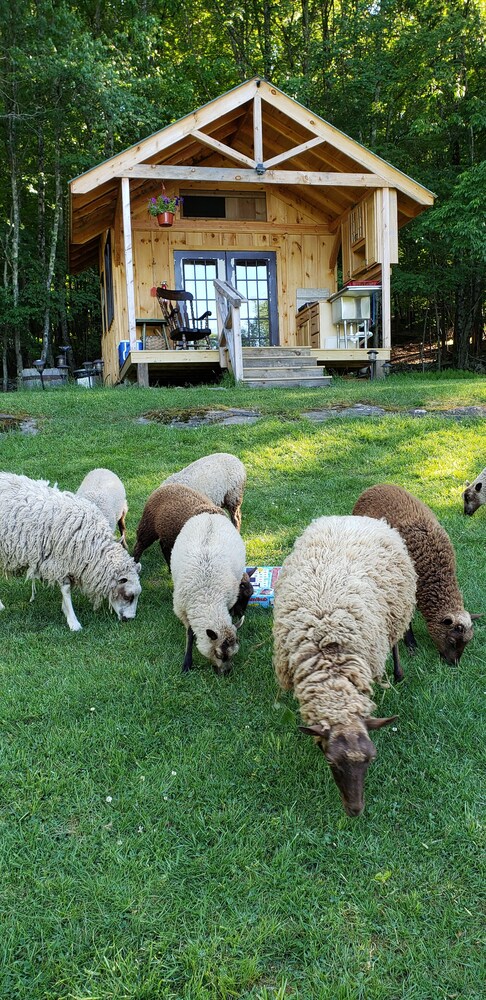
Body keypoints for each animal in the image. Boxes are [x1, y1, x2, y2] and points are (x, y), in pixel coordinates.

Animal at [0, 472, 141, 628]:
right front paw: (73, 622)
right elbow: (66, 590)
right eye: (128, 596)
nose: (129, 619)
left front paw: (65, 611)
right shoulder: (59, 561)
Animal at [170, 512, 249, 676]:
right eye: (219, 654)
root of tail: (210, 515)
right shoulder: (184, 610)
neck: (207, 596)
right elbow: (189, 634)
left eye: (234, 653)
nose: (226, 673)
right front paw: (187, 663)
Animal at [272, 516, 416, 820]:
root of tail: (356, 518)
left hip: (397, 612)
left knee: (395, 642)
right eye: (330, 761)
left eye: (372, 758)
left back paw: (397, 673)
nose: (355, 810)